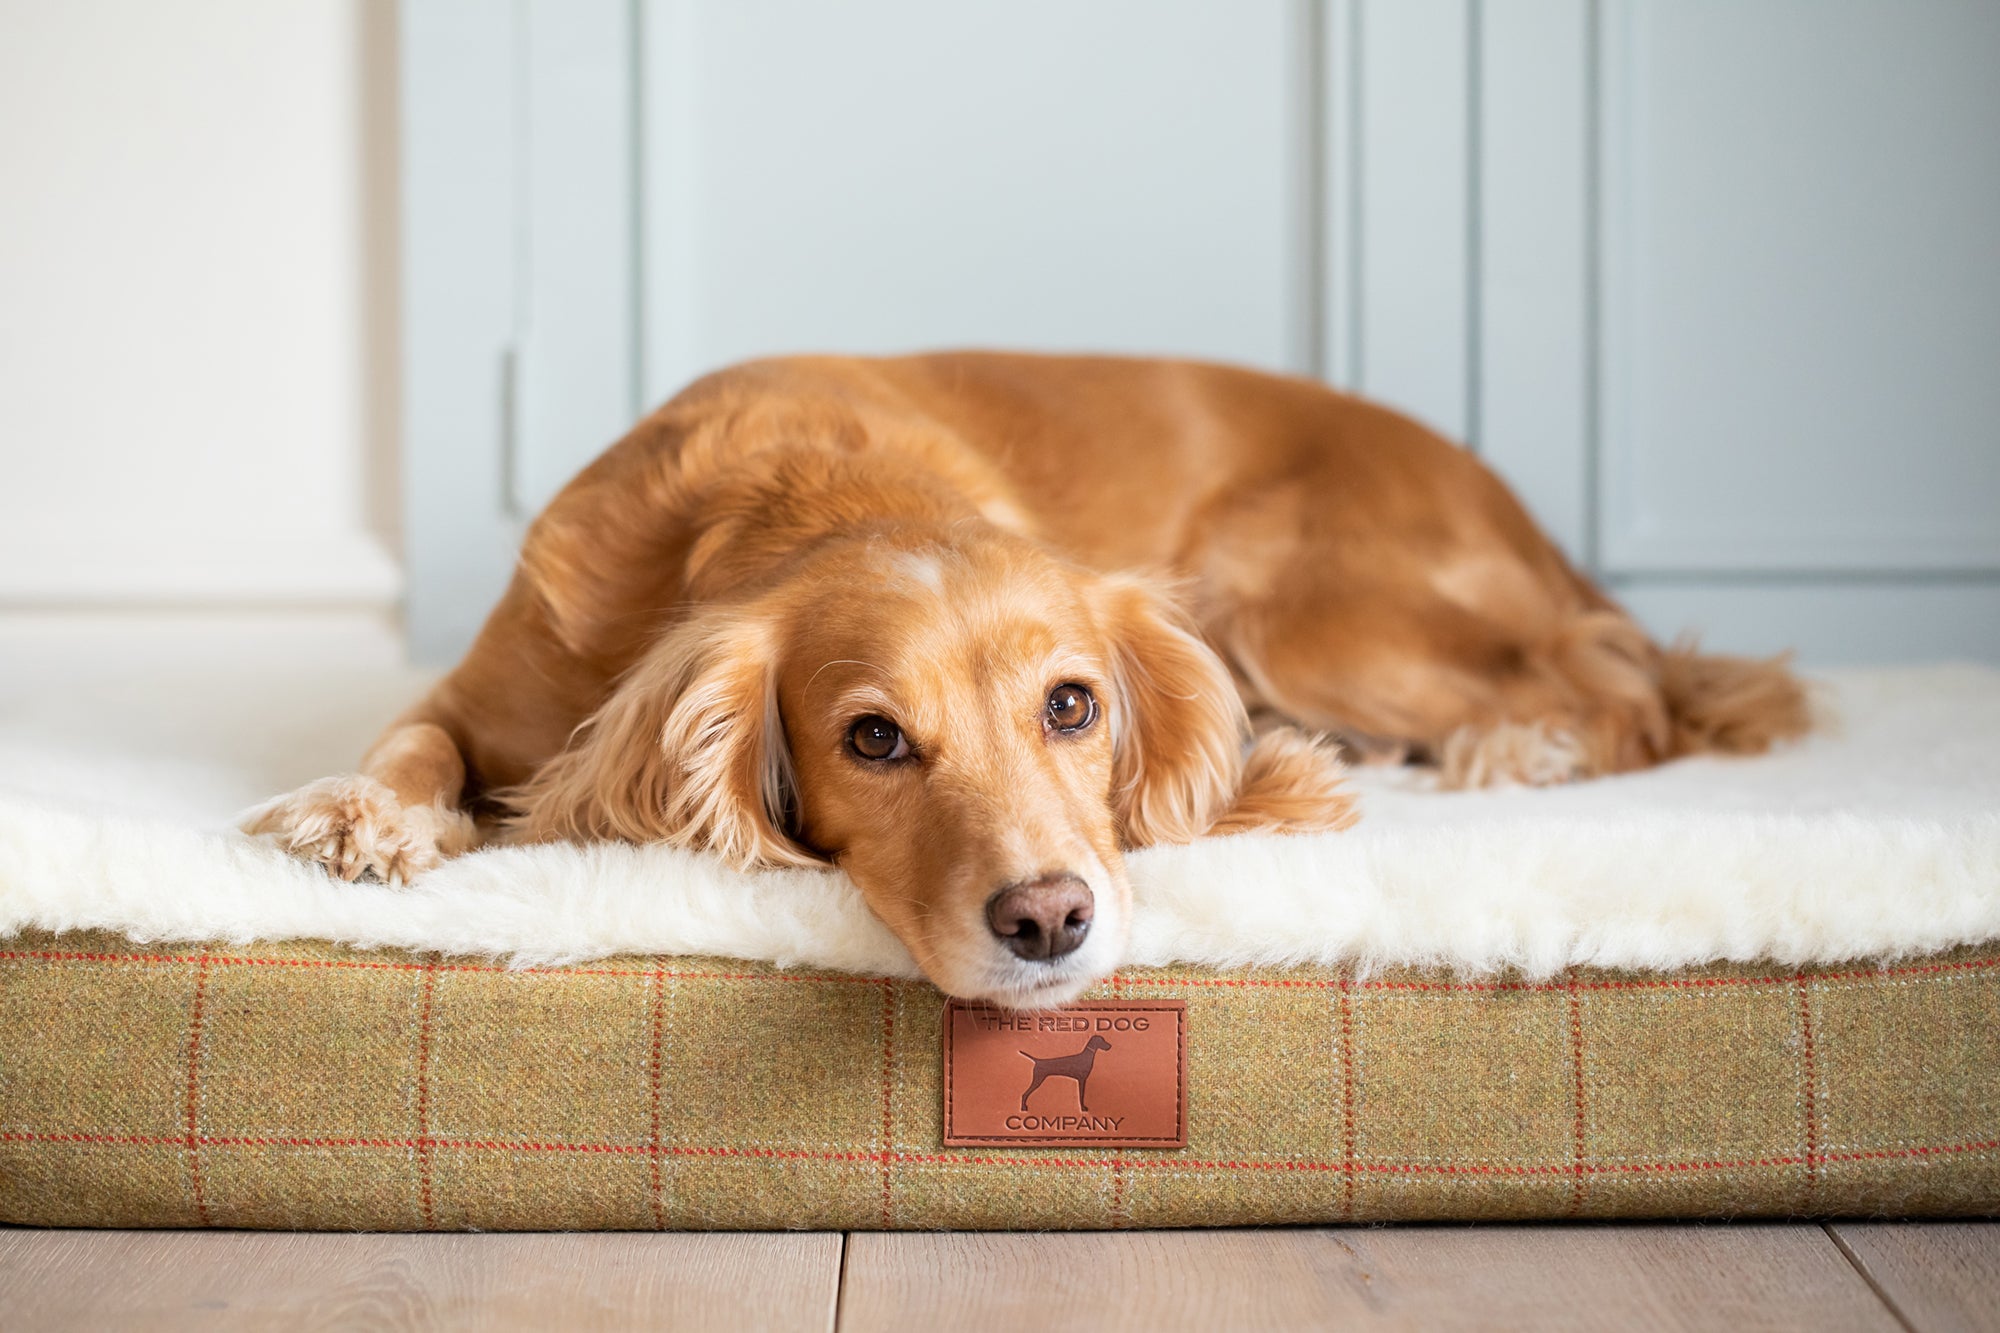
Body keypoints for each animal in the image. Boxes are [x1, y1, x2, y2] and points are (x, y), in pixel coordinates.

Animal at [246, 348, 1816, 1000]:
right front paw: (362, 814)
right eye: (874, 739)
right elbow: (412, 743)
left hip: (1300, 602)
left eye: (1074, 706)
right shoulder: (480, 692)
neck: (798, 492)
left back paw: (1510, 750)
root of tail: (1522, 514)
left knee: (1620, 689)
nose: (1050, 920)